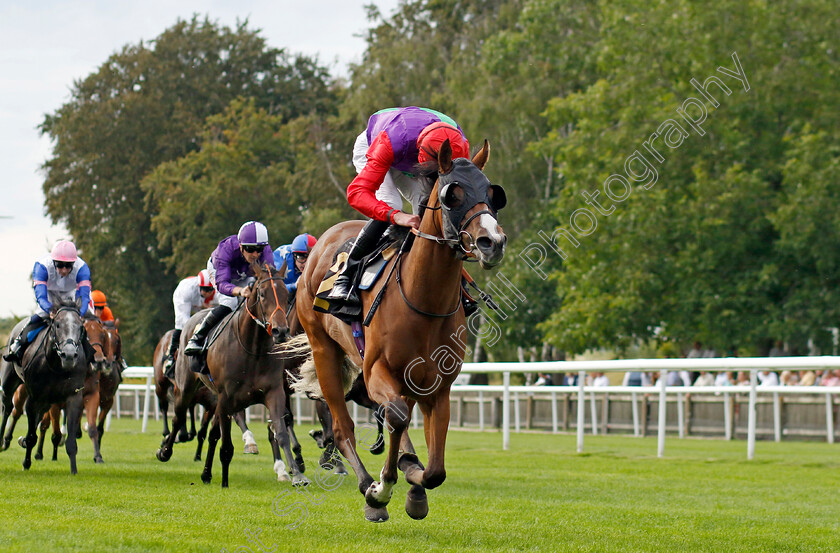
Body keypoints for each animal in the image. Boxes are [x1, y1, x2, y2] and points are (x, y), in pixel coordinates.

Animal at [0, 300, 92, 472]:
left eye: (80, 326)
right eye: (57, 325)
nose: (69, 355)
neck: (56, 366)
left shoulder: (73, 396)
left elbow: (70, 441)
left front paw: (74, 470)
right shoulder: (34, 397)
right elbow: (31, 434)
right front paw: (26, 462)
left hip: (47, 400)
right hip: (10, 380)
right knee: (8, 407)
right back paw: (3, 440)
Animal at [296, 140, 506, 520]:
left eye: (492, 193)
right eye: (453, 194)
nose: (492, 242)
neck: (424, 300)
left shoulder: (437, 384)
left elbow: (435, 468)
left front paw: (415, 482)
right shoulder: (376, 369)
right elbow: (394, 416)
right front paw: (381, 489)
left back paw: (407, 467)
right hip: (324, 349)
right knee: (344, 427)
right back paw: (368, 486)